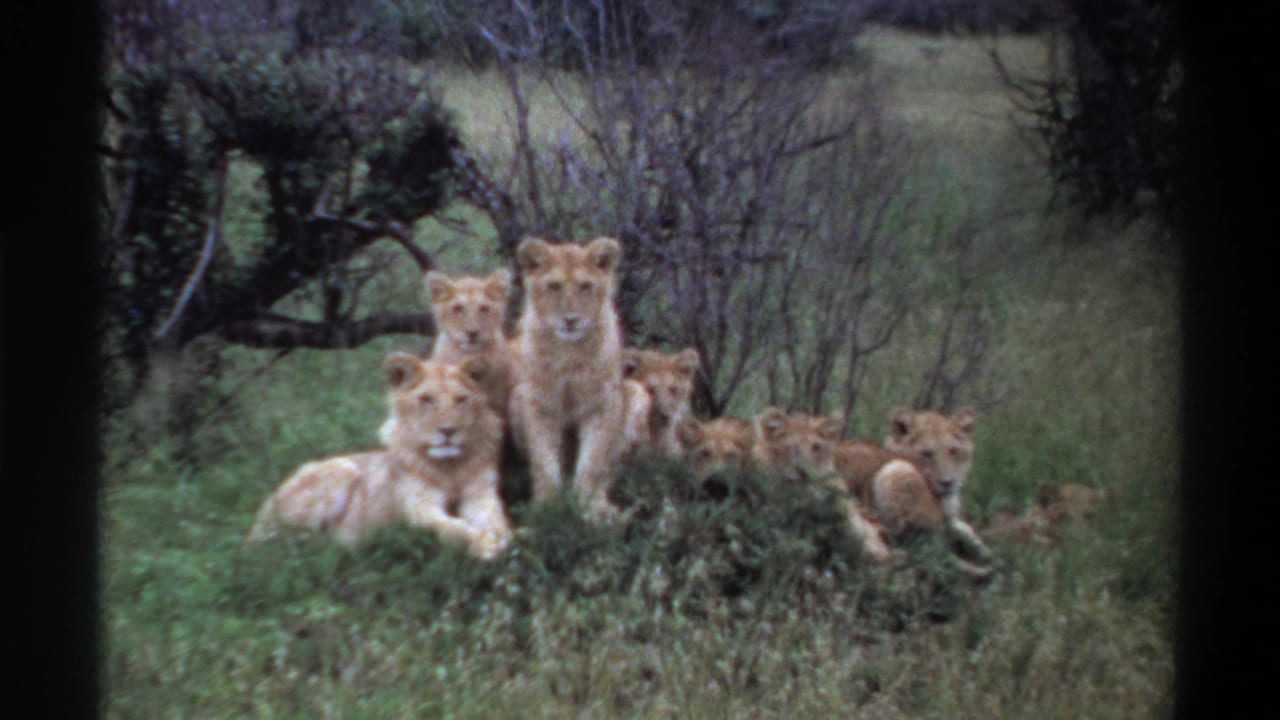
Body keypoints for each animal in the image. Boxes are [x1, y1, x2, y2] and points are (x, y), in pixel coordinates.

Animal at [247, 353, 512, 560]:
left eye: (461, 400)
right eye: (426, 400)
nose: (448, 431)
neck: (450, 466)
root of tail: (262, 512)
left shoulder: (481, 495)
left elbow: (496, 519)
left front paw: (506, 537)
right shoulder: (418, 508)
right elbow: (452, 528)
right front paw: (484, 543)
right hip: (343, 469)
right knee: (283, 545)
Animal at [507, 236, 628, 520]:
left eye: (585, 286)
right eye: (554, 286)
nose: (571, 320)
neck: (569, 354)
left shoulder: (602, 404)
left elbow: (593, 461)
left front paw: (590, 508)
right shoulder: (537, 404)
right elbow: (544, 462)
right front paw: (547, 509)